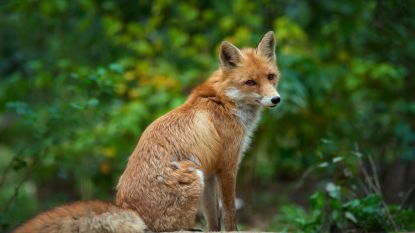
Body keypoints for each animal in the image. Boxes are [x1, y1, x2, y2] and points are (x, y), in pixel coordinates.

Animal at [115, 31, 282, 231]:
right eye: (250, 82)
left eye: (271, 76)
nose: (276, 99)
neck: (226, 101)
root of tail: (124, 206)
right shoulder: (227, 165)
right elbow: (230, 213)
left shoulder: (210, 171)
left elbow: (213, 221)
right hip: (194, 177)